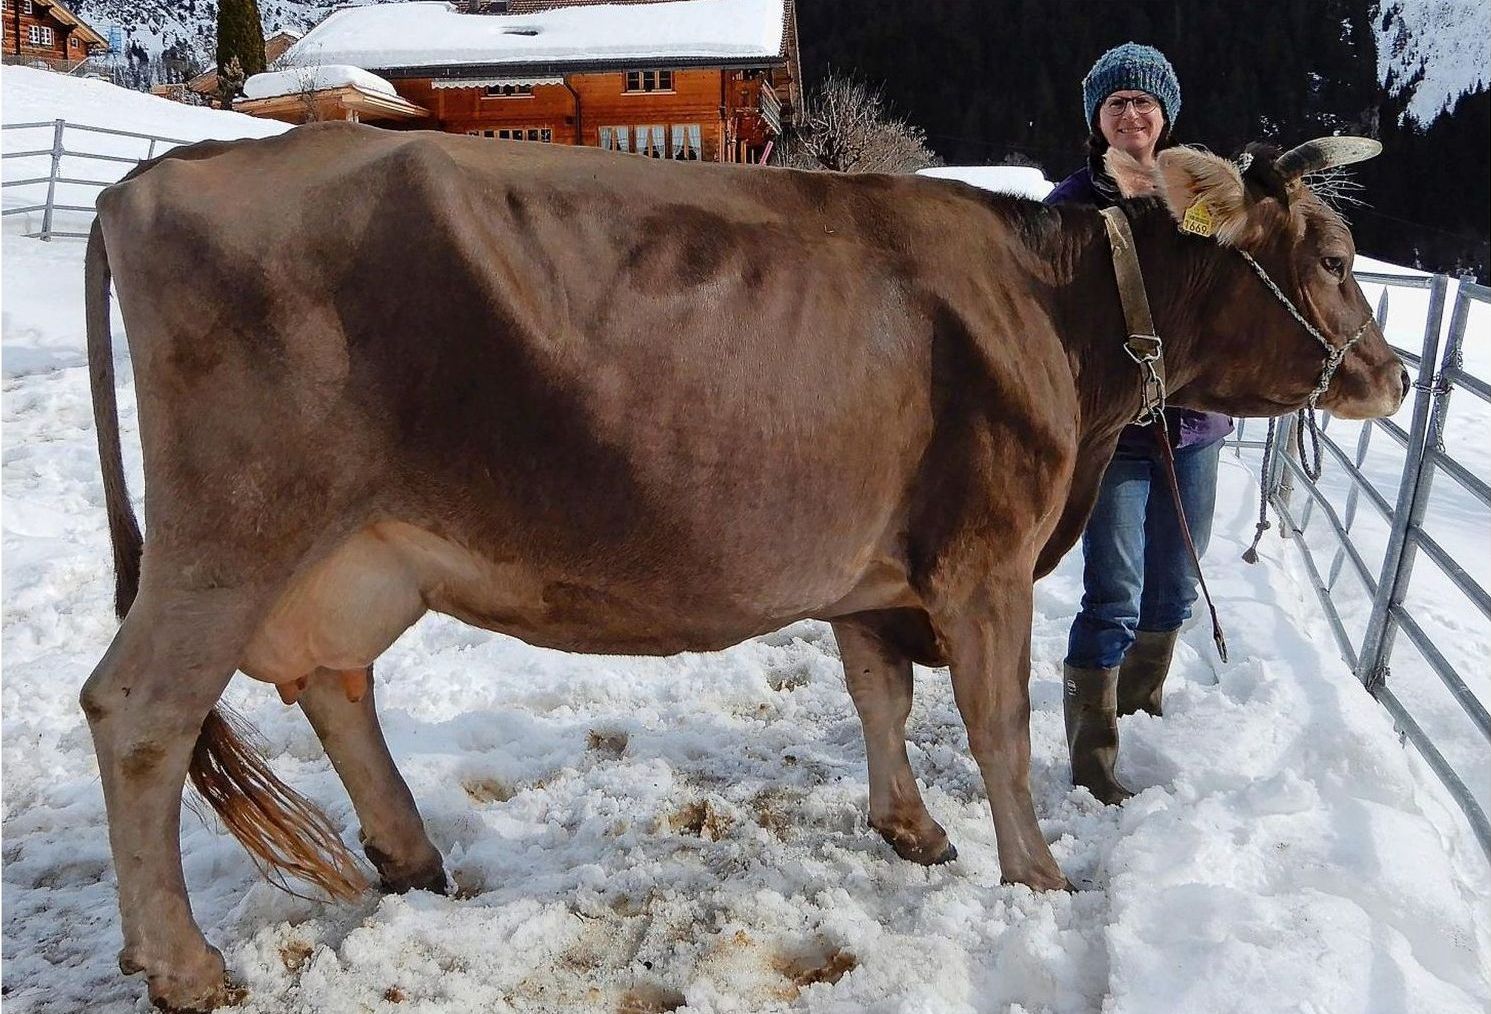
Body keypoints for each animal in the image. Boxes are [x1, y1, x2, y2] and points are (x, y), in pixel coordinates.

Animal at [84, 123, 1407, 1008]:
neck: (1062, 313)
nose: (1390, 377)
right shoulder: (986, 554)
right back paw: (184, 963)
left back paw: (412, 858)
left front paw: (912, 831)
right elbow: (998, 724)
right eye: (1338, 256)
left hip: (352, 554)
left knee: (332, 680)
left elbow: (881, 694)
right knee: (138, 709)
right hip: (235, 531)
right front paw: (1034, 875)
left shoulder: (877, 571)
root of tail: (171, 168)